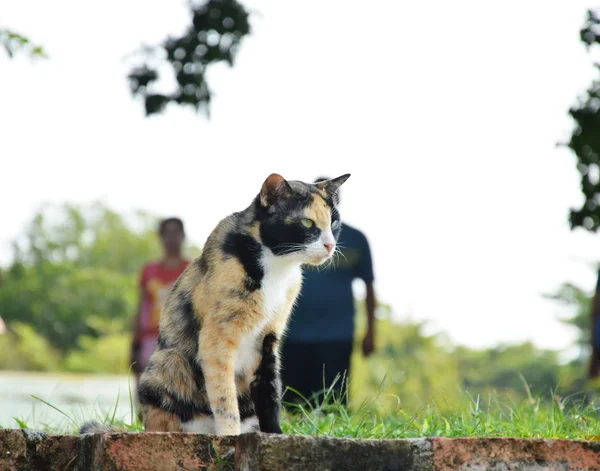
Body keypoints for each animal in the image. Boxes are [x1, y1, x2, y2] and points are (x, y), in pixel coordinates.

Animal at [81, 172, 352, 436]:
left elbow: (270, 392)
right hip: (166, 362)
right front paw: (230, 436)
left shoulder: (268, 339)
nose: (330, 245)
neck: (276, 268)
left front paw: (274, 434)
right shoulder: (216, 338)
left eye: (334, 223)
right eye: (307, 223)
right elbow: (224, 396)